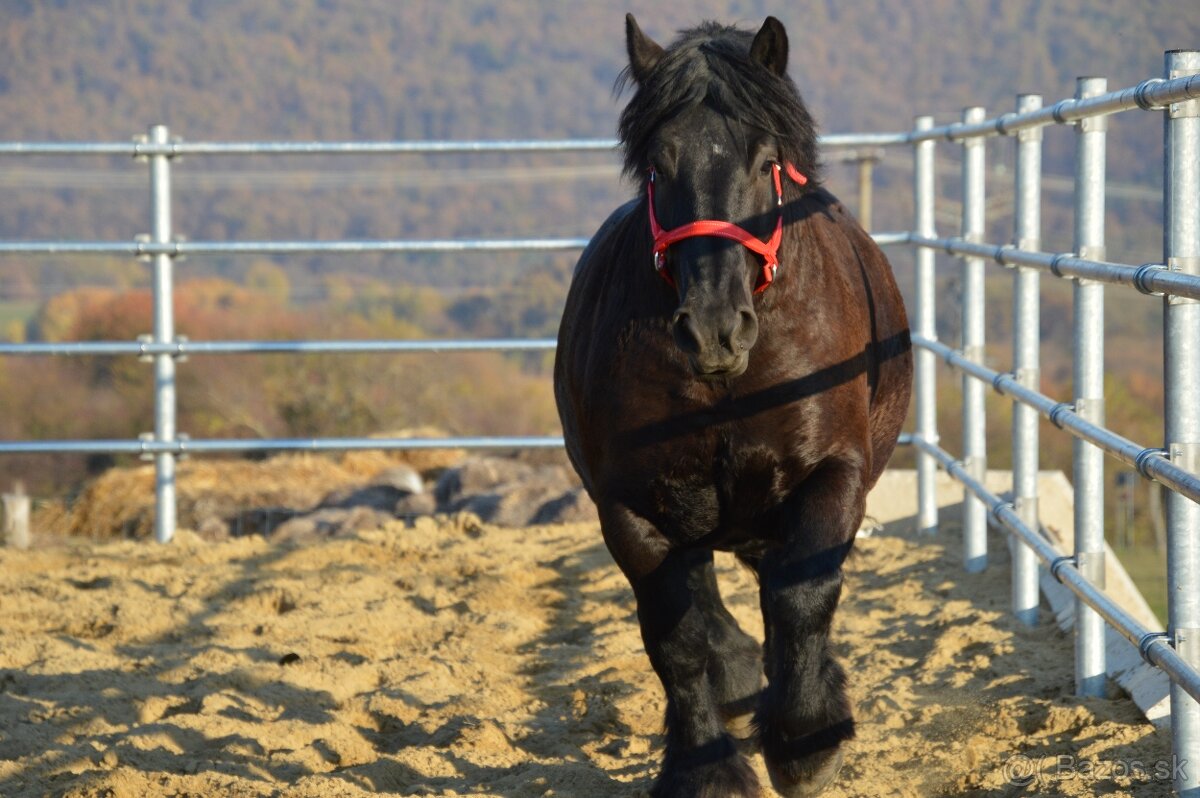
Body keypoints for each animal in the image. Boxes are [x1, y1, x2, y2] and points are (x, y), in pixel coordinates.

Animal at [552, 14, 907, 796]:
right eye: (658, 166)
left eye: (764, 159)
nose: (714, 326)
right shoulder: (631, 506)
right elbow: (676, 636)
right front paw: (706, 767)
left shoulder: (833, 476)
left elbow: (802, 597)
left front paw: (806, 741)